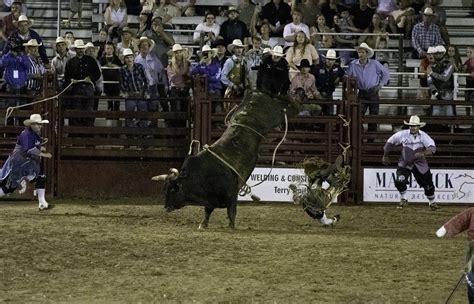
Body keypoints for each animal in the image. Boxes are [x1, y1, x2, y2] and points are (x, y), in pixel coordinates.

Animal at [152, 91, 298, 229]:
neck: (201, 175)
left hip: (275, 115)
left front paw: (231, 226)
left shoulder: (232, 194)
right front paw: (203, 224)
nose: (166, 207)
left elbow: (231, 212)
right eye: (164, 188)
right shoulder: (210, 200)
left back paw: (293, 100)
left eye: (173, 189)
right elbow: (207, 211)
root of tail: (255, 94)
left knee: (288, 108)